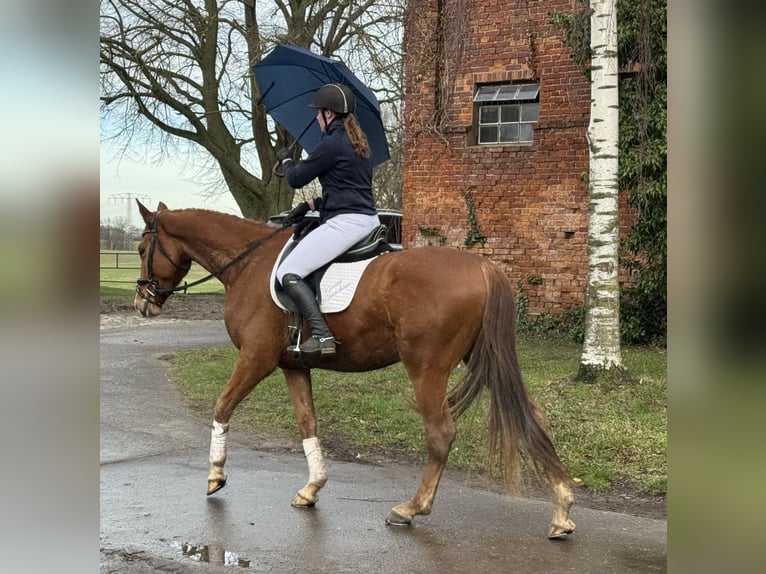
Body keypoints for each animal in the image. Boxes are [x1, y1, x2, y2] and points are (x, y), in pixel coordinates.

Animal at [134, 202, 576, 540]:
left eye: (141, 247)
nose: (143, 303)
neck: (250, 264)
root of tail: (483, 268)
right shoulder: (293, 366)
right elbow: (307, 423)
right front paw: (312, 488)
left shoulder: (255, 360)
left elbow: (222, 407)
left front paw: (215, 476)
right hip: (484, 360)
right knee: (532, 416)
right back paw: (562, 510)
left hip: (426, 369)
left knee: (441, 434)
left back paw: (411, 508)